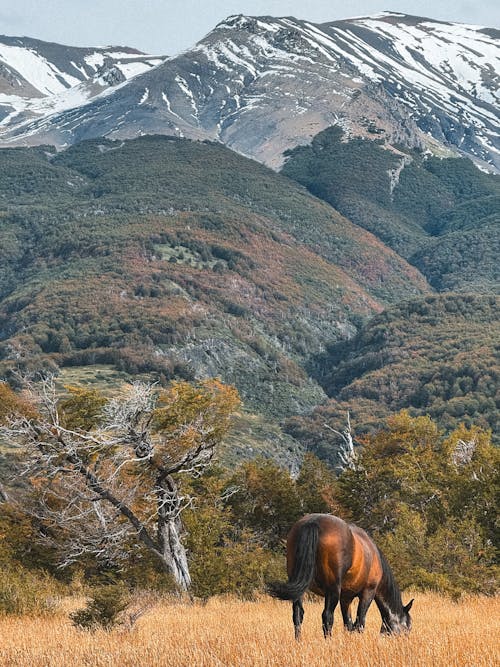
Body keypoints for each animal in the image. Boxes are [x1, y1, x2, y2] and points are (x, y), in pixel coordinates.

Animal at [270, 516, 414, 640]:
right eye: (407, 627)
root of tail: (313, 522)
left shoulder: (346, 598)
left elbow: (348, 624)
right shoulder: (368, 592)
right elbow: (360, 622)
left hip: (300, 587)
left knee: (298, 614)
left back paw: (298, 641)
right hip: (333, 589)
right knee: (327, 616)